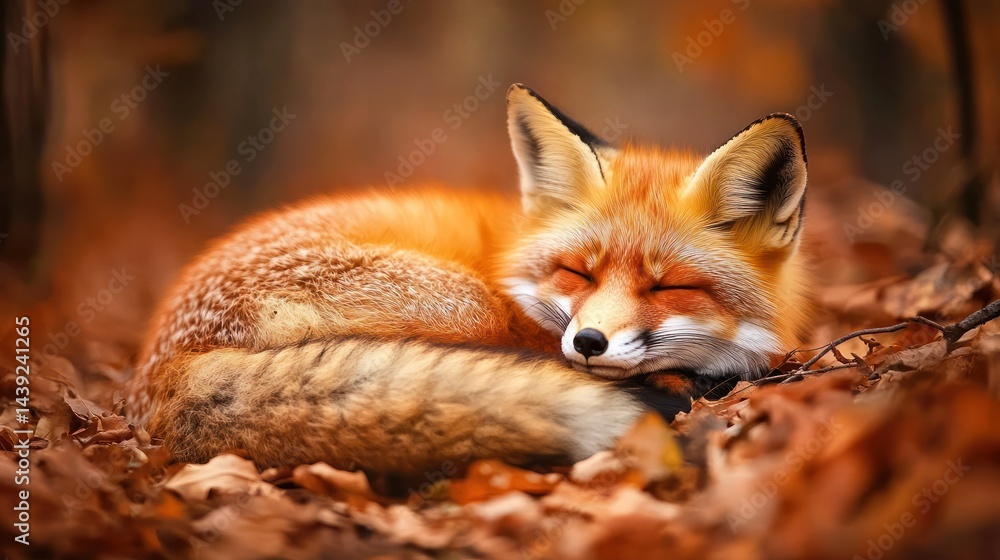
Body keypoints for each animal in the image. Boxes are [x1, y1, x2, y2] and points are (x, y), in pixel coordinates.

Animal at [126, 84, 810, 474]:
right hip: (467, 306)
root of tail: (162, 374)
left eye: (667, 287)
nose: (589, 343)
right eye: (577, 272)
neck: (513, 260)